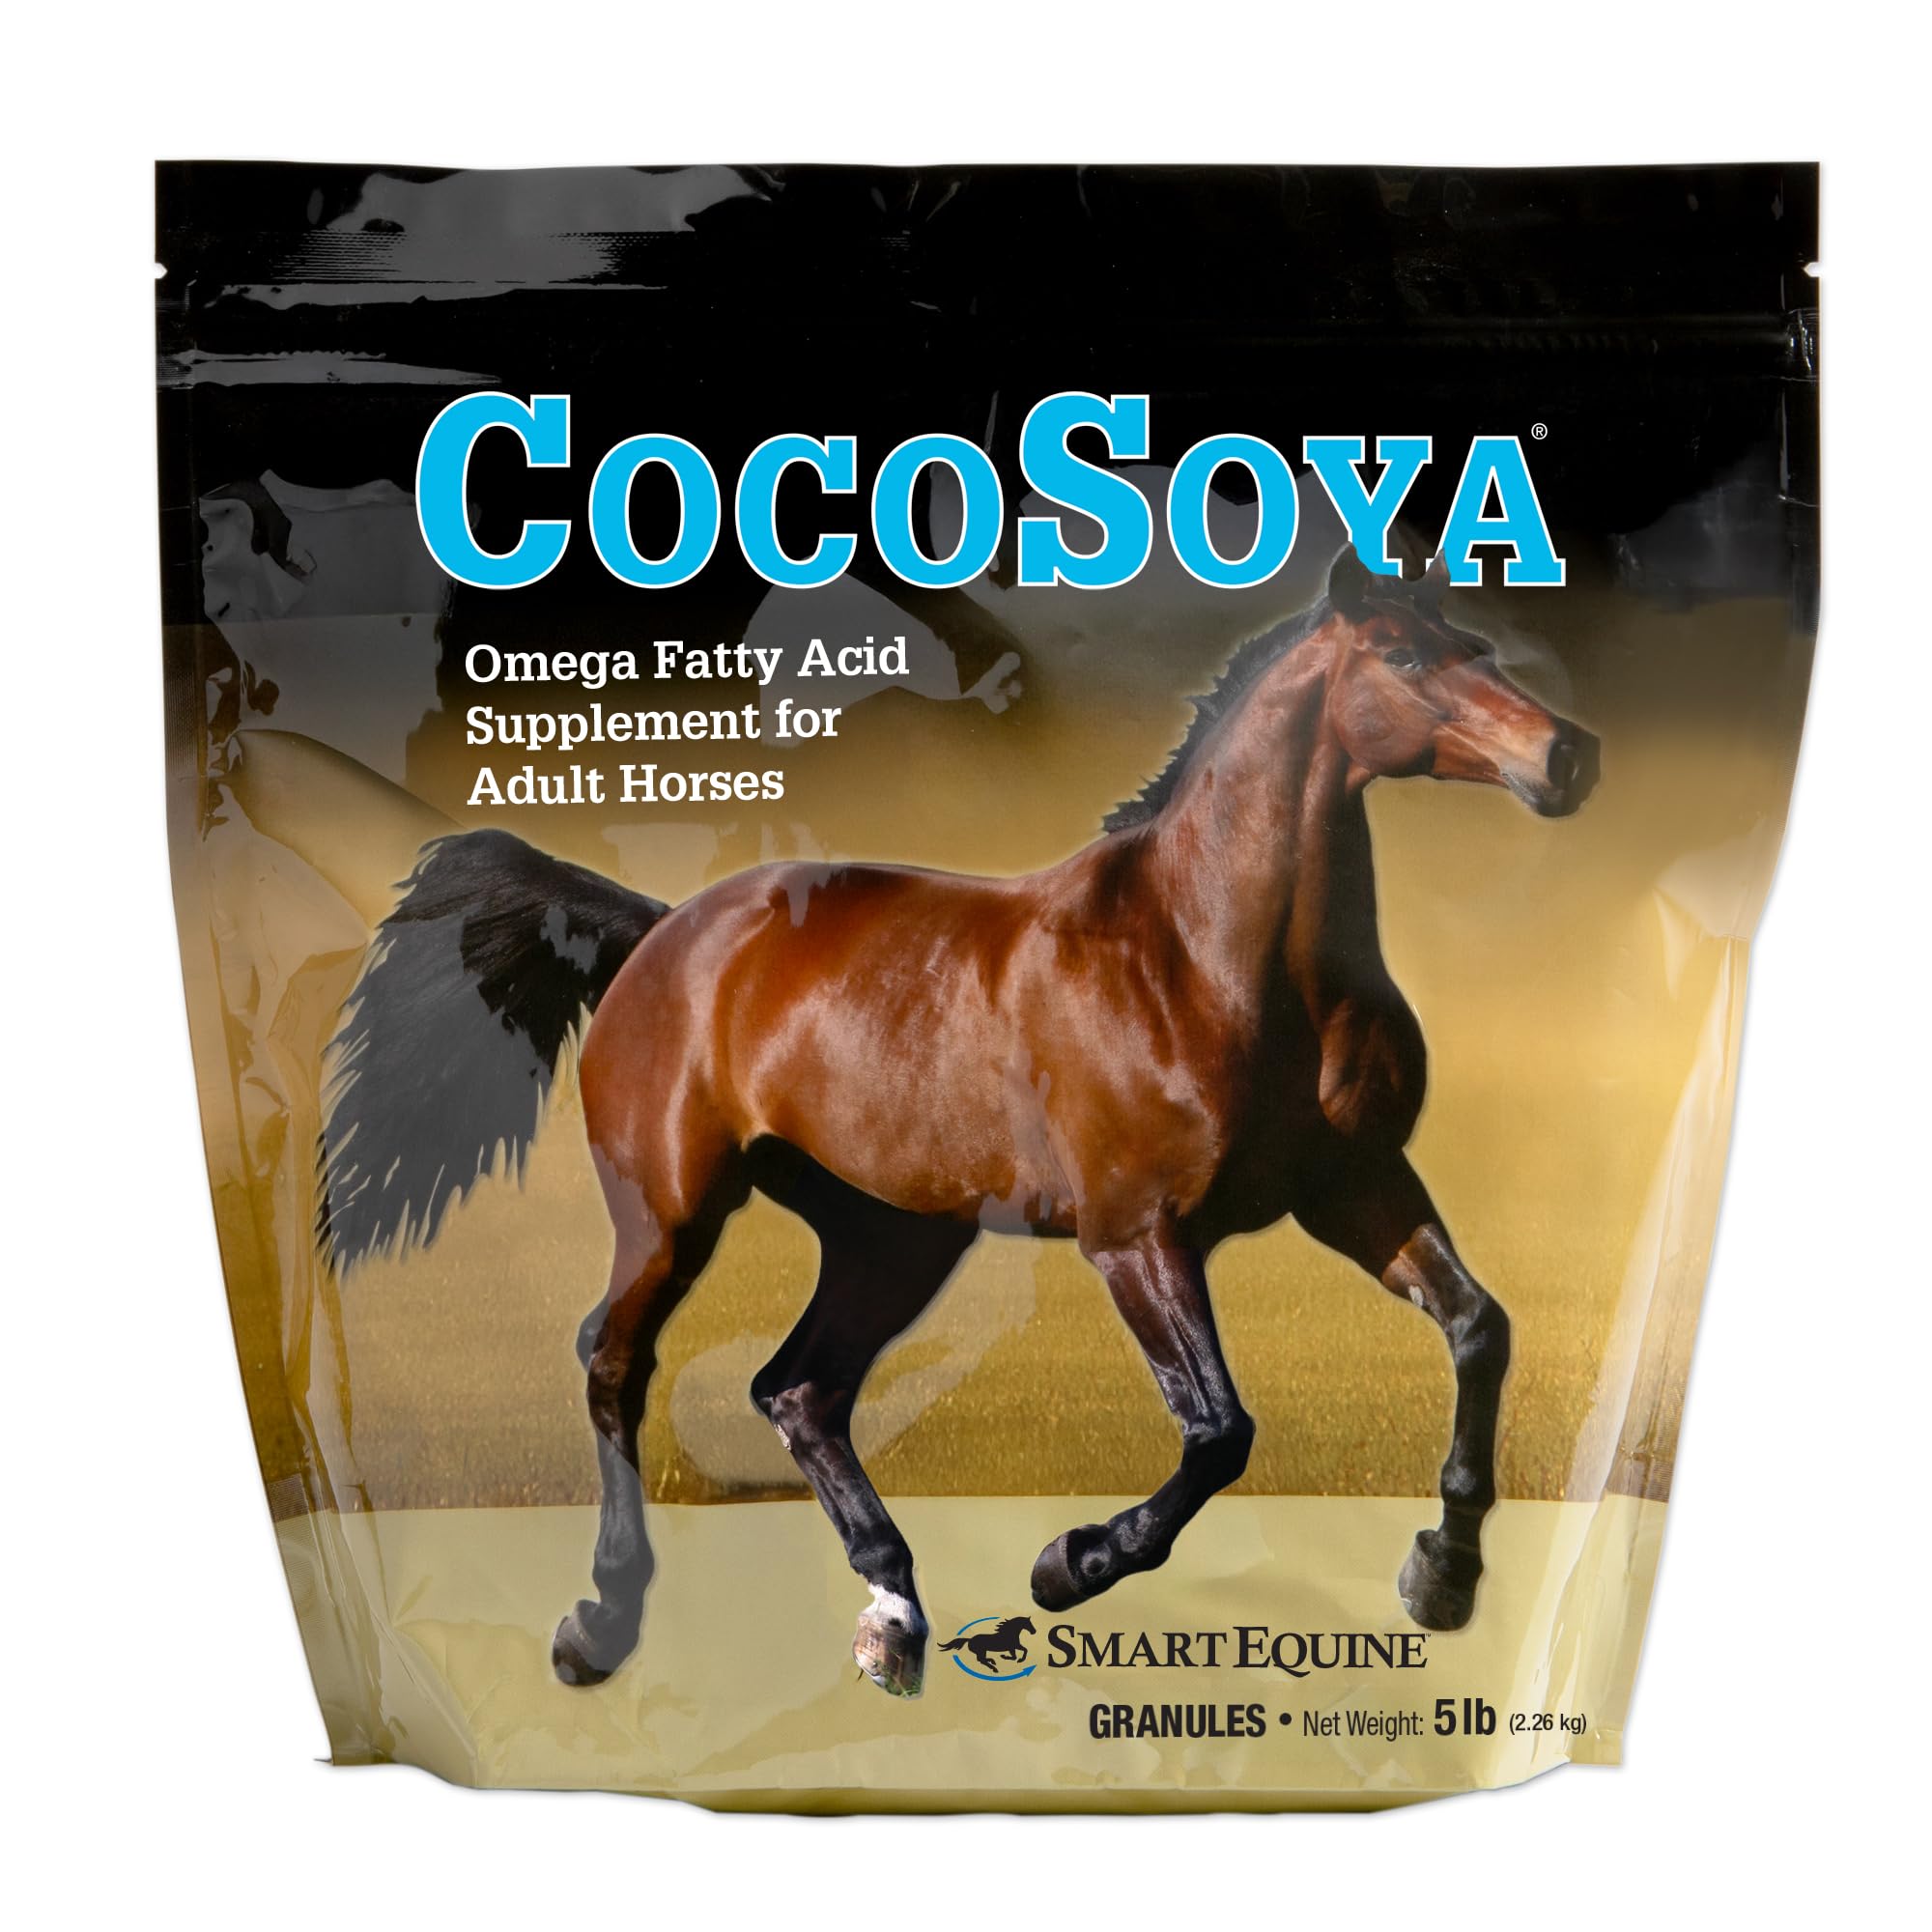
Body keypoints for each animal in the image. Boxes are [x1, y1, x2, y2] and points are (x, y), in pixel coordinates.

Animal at [318, 543, 1599, 1699]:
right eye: (1403, 654)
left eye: (1477, 644)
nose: (1566, 754)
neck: (1205, 956)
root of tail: (658, 931)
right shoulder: (1134, 1235)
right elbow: (1217, 1429)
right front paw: (1069, 1562)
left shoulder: (1355, 1186)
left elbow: (1478, 1328)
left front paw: (1441, 1571)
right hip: (674, 1214)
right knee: (615, 1360)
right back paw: (600, 1621)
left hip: (891, 1233)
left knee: (799, 1388)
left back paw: (891, 1613)